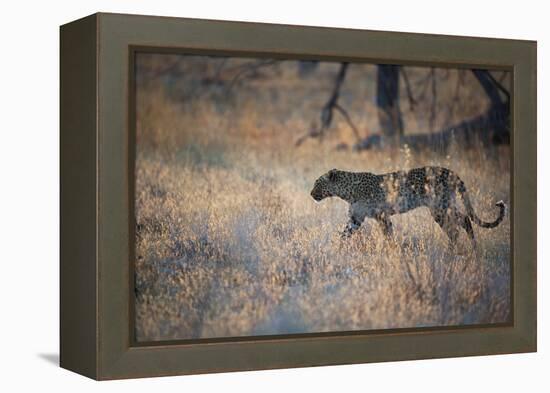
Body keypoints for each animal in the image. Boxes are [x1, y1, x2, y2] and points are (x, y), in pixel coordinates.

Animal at [310, 166, 504, 247]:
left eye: (317, 183)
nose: (311, 194)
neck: (347, 192)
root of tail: (451, 172)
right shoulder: (355, 218)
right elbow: (344, 234)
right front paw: (336, 249)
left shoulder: (381, 216)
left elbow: (388, 234)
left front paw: (391, 250)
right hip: (444, 206)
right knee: (463, 220)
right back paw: (470, 248)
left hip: (439, 207)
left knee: (456, 227)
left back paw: (456, 250)